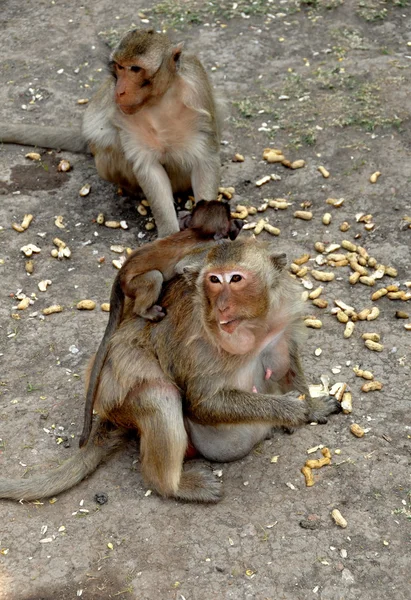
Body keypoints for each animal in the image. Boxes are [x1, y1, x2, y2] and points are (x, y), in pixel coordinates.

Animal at [0, 29, 225, 237]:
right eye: (119, 67)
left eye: (135, 69)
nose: (120, 90)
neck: (159, 100)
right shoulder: (123, 115)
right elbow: (148, 168)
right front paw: (169, 233)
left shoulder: (198, 93)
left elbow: (205, 161)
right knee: (109, 144)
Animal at [0, 237, 342, 504]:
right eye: (214, 280)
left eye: (236, 279)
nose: (221, 306)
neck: (253, 329)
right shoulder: (201, 339)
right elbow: (203, 402)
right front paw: (290, 410)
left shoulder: (281, 320)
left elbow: (286, 363)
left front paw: (311, 406)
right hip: (118, 393)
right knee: (159, 394)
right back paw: (173, 485)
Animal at [79, 199, 243, 448]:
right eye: (229, 220)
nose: (239, 223)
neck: (198, 231)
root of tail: (122, 273)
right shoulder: (204, 248)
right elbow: (183, 267)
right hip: (136, 284)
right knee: (154, 276)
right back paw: (146, 311)